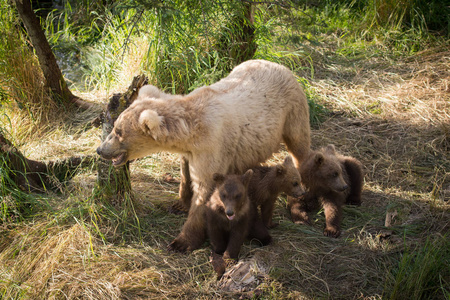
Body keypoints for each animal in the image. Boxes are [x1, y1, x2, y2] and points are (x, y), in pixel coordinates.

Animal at [96, 59, 312, 252]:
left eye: (118, 131)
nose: (101, 149)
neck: (190, 135)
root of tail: (279, 65)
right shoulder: (190, 153)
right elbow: (186, 174)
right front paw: (179, 204)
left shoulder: (211, 148)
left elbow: (205, 190)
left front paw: (181, 242)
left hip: (292, 112)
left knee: (299, 148)